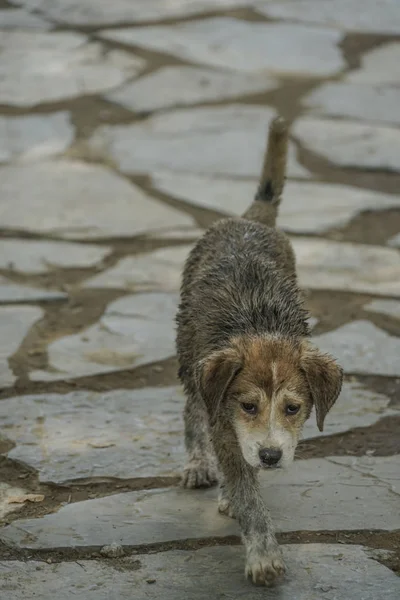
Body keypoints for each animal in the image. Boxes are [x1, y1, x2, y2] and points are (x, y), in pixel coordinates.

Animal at [176, 115, 344, 584]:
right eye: (248, 405)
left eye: (293, 408)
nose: (270, 456)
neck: (259, 325)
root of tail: (247, 218)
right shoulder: (223, 416)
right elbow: (247, 491)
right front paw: (264, 557)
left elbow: (246, 476)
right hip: (188, 353)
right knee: (193, 408)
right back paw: (200, 464)